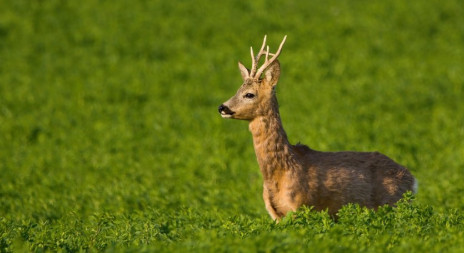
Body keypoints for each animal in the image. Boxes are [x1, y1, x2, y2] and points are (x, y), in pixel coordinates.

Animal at [218, 34, 416, 220]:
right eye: (237, 90)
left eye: (249, 94)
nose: (222, 107)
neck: (283, 172)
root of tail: (412, 180)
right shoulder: (275, 215)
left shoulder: (300, 206)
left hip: (392, 203)